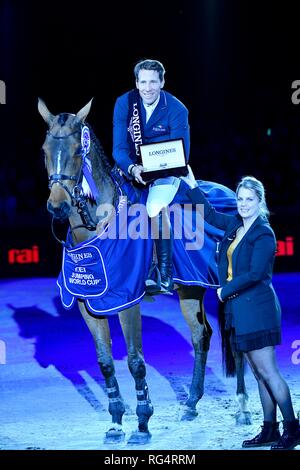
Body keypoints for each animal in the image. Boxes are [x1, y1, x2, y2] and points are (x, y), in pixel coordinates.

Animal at [38, 98, 252, 444]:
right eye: (45, 150)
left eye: (77, 151)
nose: (57, 206)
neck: (96, 226)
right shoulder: (87, 304)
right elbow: (105, 363)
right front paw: (115, 423)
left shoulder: (128, 301)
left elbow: (136, 362)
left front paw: (142, 423)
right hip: (189, 288)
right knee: (200, 335)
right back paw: (190, 405)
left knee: (237, 340)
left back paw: (243, 410)